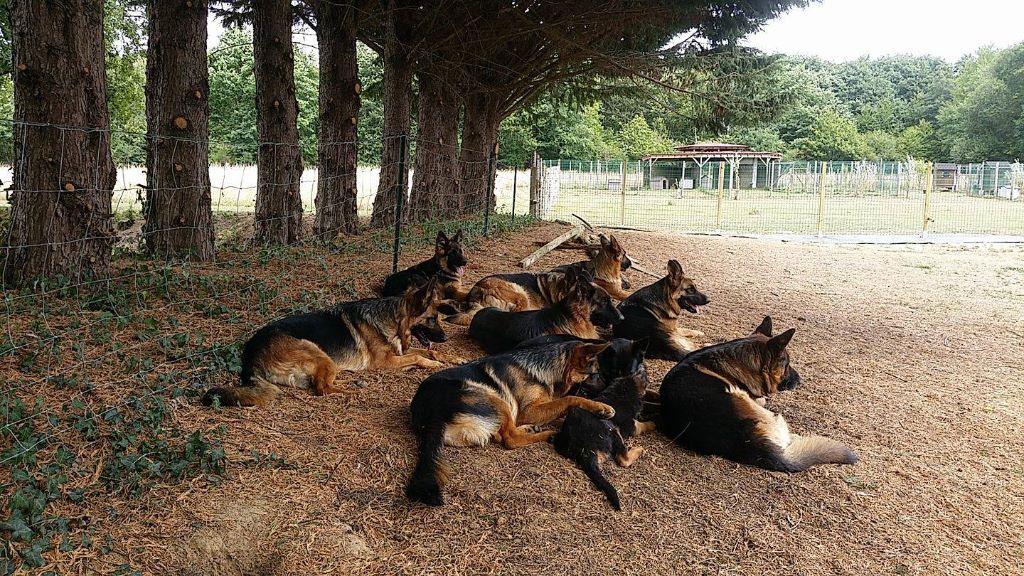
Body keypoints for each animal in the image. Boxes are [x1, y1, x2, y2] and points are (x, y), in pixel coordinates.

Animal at [199, 276, 456, 405]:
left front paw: (451, 357)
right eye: (432, 319)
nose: (445, 337)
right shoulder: (386, 361)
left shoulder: (399, 353)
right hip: (319, 353)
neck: (392, 318)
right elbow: (419, 357)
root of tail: (251, 354)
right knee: (322, 389)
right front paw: (433, 364)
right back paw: (352, 392)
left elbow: (427, 352)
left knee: (321, 384)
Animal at [405, 338, 614, 504]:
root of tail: (429, 414)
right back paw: (548, 434)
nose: (612, 388)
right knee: (510, 439)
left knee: (502, 434)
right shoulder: (528, 411)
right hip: (495, 398)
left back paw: (531, 429)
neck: (544, 368)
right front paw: (600, 407)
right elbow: (569, 399)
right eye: (596, 375)